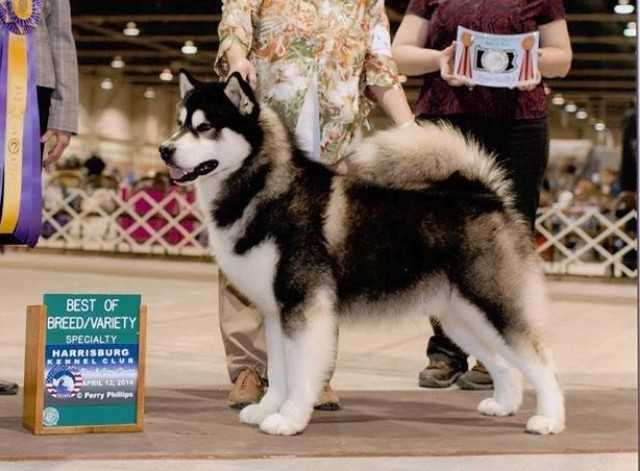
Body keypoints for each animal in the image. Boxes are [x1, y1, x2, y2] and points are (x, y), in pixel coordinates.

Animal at [160, 72, 564, 436]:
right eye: (180, 124)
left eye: (205, 126)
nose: (165, 149)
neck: (264, 187)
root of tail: (486, 195)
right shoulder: (277, 311)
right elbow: (278, 369)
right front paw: (266, 409)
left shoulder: (304, 307)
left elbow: (300, 372)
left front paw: (290, 419)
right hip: (461, 316)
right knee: (502, 362)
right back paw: (504, 404)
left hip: (494, 303)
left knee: (539, 360)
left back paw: (549, 419)